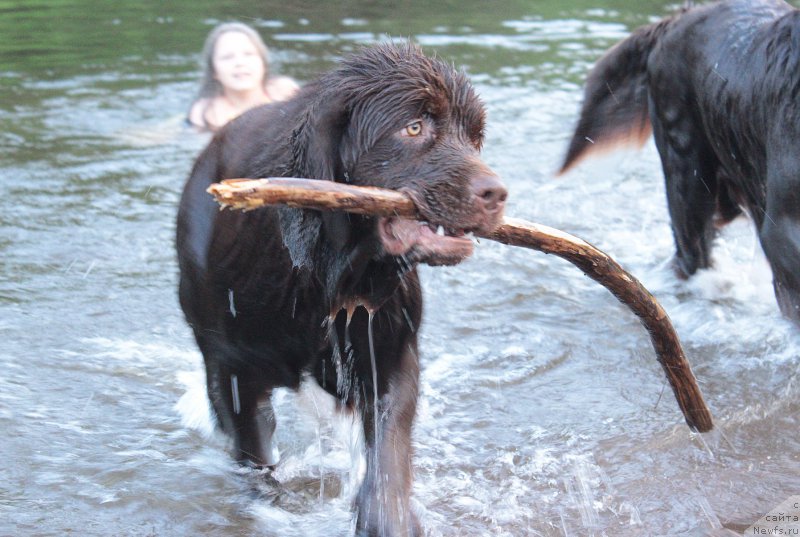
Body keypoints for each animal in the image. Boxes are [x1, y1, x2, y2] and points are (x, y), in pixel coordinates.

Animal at [179, 43, 510, 536]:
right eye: (414, 127)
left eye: (474, 137)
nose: (497, 194)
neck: (322, 273)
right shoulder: (234, 372)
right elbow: (257, 463)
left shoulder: (388, 349)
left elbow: (389, 448)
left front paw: (388, 516)